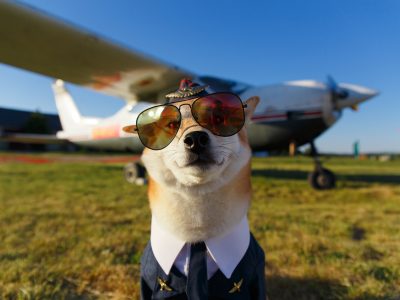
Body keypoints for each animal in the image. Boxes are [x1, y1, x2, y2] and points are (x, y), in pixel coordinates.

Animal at [122, 79, 266, 300]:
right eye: (171, 125)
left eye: (217, 118)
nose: (196, 138)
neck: (197, 237)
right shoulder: (151, 279)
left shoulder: (254, 274)